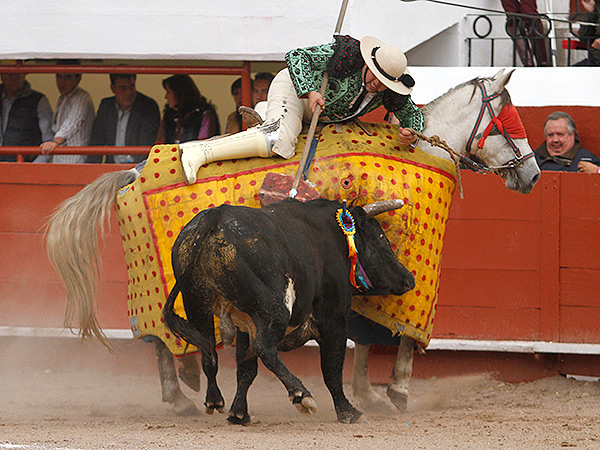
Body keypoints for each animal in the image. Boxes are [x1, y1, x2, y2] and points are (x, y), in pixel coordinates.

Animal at [164, 197, 418, 422]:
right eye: (381, 239)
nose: (409, 279)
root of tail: (217, 216)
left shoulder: (246, 324)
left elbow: (246, 368)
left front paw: (239, 413)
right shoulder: (334, 319)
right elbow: (332, 368)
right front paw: (349, 413)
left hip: (197, 305)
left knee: (208, 350)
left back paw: (214, 400)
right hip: (274, 311)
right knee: (265, 349)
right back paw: (301, 395)